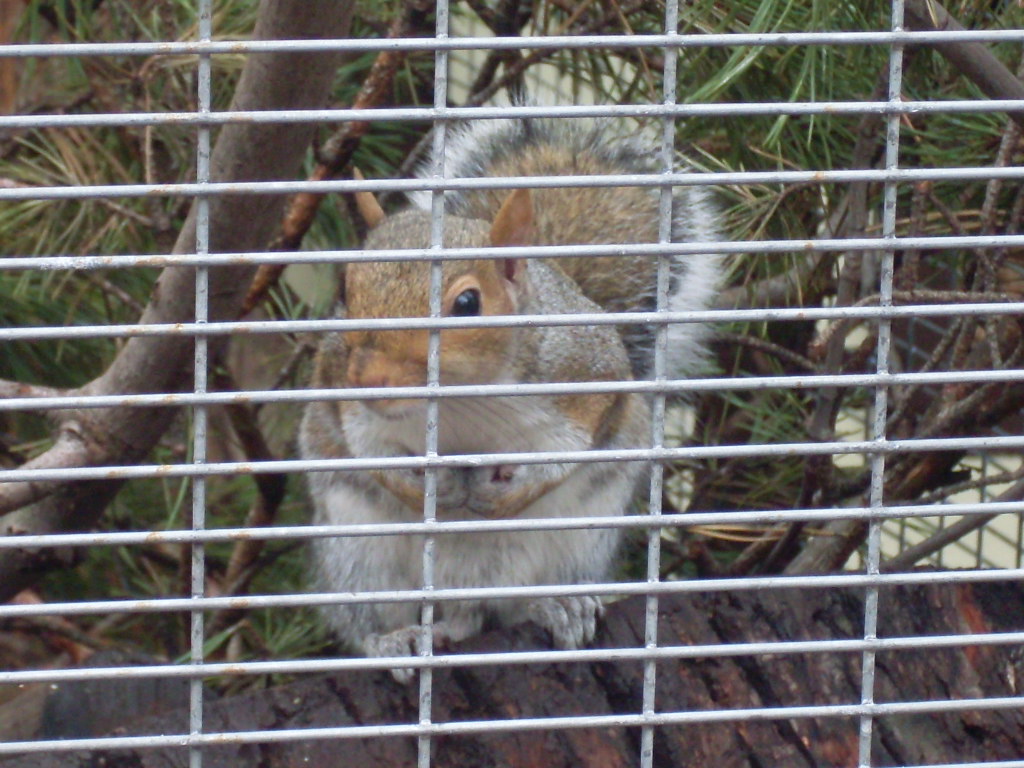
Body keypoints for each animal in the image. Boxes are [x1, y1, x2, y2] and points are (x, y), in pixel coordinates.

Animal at [299, 118, 721, 676]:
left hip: (577, 545)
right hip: (358, 554)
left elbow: (566, 452)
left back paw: (561, 607)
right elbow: (367, 452)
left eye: (467, 303)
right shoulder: (344, 398)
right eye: (346, 290)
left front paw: (506, 492)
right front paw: (429, 487)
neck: (460, 403)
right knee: (376, 617)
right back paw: (393, 640)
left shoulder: (585, 377)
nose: (370, 380)